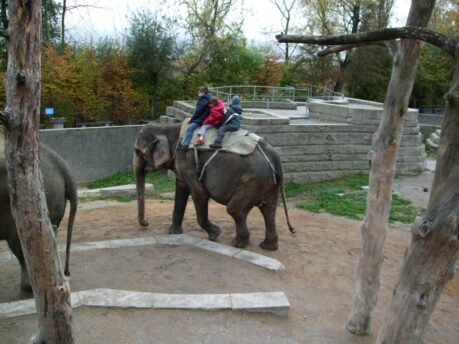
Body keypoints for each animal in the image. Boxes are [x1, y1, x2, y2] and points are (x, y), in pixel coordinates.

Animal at [133, 123, 294, 250]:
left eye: (138, 151)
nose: (147, 223)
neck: (166, 127)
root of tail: (276, 158)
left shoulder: (187, 160)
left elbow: (199, 193)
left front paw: (215, 235)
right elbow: (181, 190)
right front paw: (171, 233)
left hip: (251, 181)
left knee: (235, 209)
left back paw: (238, 243)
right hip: (269, 183)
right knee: (268, 210)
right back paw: (268, 246)